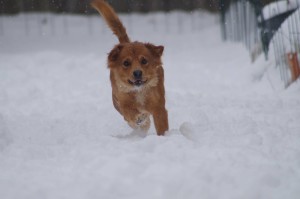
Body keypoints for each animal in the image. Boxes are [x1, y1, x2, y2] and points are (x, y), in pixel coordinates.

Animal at [90, 0, 170, 135]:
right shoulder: (122, 101)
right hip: (116, 102)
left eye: (144, 61)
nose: (137, 73)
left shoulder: (159, 106)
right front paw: (139, 119)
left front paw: (164, 137)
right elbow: (129, 112)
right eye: (126, 63)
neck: (139, 91)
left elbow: (161, 124)